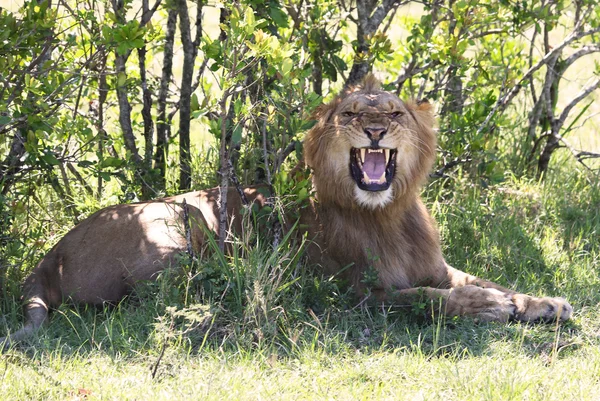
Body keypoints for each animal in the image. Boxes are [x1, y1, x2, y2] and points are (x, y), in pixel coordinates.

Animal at [1, 76, 572, 346]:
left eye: (393, 113)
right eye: (351, 114)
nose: (374, 131)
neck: (386, 213)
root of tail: (49, 254)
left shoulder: (434, 265)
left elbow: (481, 279)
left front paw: (542, 303)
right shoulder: (356, 293)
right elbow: (425, 299)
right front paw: (488, 307)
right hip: (173, 225)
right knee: (154, 302)